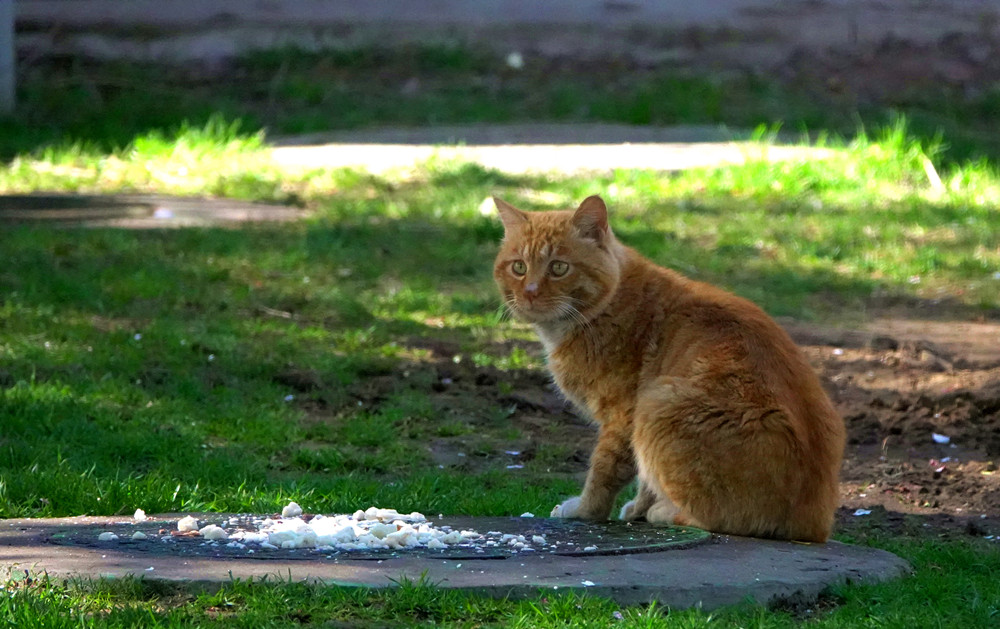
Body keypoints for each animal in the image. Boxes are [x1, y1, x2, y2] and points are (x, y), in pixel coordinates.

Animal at [492, 195, 844, 540]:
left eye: (559, 268)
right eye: (519, 267)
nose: (530, 292)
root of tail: (814, 523)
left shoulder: (624, 416)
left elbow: (604, 472)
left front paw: (585, 511)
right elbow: (645, 480)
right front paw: (636, 509)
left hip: (659, 402)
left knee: (719, 519)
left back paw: (666, 513)